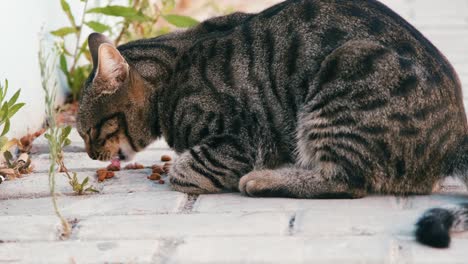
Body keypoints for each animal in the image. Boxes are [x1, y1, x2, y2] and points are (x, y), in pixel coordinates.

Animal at [77, 0, 468, 248]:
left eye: (90, 130)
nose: (92, 155)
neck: (171, 72)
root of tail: (455, 140)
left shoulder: (240, 142)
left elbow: (184, 171)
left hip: (344, 76)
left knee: (349, 181)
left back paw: (264, 179)